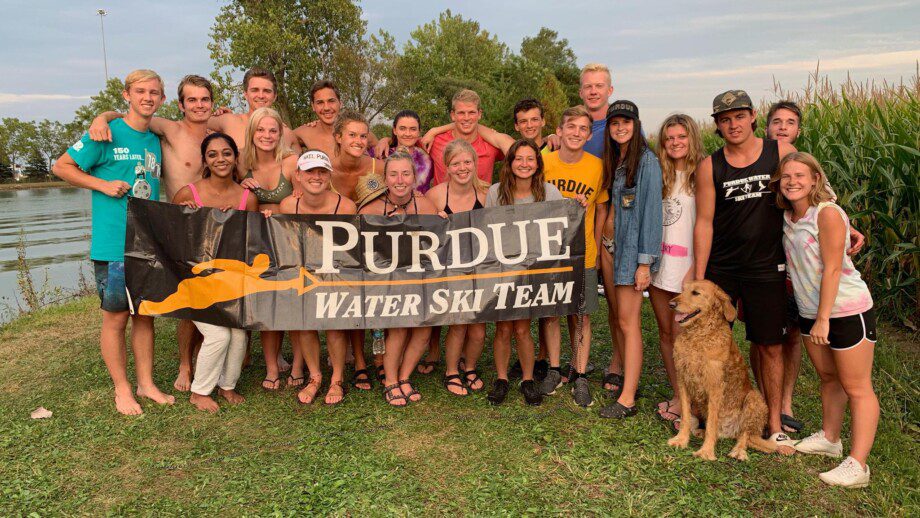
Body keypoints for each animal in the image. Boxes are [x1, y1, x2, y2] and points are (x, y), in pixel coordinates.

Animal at [664, 280, 780, 464]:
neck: (698, 335)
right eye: (683, 290)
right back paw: (701, 431)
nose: (671, 304)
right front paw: (681, 439)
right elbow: (685, 416)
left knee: (745, 435)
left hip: (754, 399)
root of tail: (730, 432)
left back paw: (738, 451)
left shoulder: (715, 387)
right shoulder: (682, 380)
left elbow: (712, 423)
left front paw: (706, 451)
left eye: (695, 293)